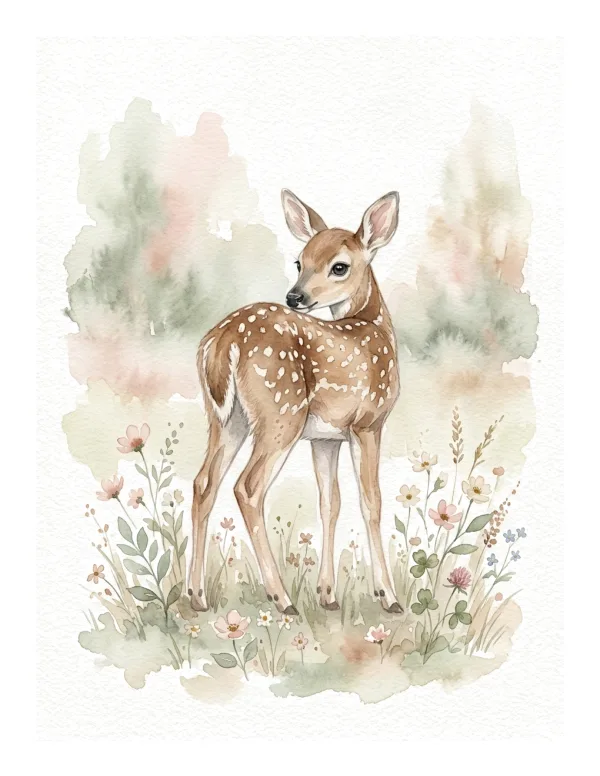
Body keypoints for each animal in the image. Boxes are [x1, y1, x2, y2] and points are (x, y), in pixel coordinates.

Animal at [189, 189, 403, 616]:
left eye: (339, 266)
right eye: (300, 261)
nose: (295, 296)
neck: (374, 326)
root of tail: (221, 341)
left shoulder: (326, 437)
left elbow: (330, 502)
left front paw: (328, 595)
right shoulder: (369, 421)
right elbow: (371, 502)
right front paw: (388, 596)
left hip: (226, 418)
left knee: (204, 482)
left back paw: (196, 595)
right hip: (280, 412)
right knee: (247, 487)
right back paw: (281, 597)